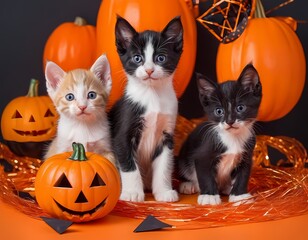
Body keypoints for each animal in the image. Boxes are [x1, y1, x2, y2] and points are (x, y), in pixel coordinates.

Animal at [109, 15, 183, 202]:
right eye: (137, 58)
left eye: (161, 58)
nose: (149, 70)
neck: (152, 95)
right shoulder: (122, 135)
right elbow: (129, 165)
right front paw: (132, 193)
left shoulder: (167, 136)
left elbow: (164, 165)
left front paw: (164, 192)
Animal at [177, 64, 262, 206]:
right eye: (219, 111)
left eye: (240, 108)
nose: (230, 121)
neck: (232, 138)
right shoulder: (202, 155)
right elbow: (205, 175)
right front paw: (209, 196)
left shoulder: (247, 154)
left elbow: (243, 175)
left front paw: (239, 195)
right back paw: (188, 185)